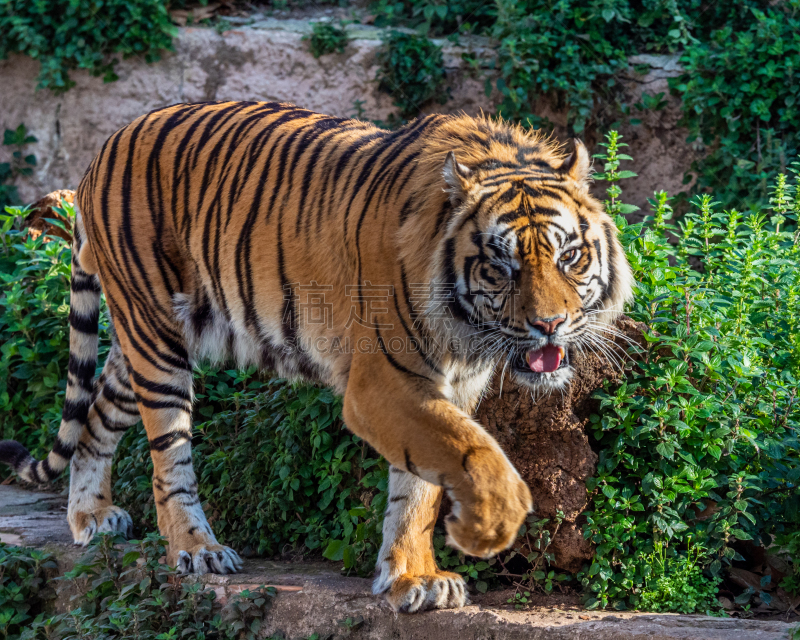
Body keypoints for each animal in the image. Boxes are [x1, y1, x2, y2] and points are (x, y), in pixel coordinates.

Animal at [0, 104, 632, 616]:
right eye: (500, 266)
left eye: (570, 257)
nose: (549, 324)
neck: (467, 334)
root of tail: (100, 151)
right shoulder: (385, 382)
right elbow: (468, 450)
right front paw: (488, 525)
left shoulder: (444, 385)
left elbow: (417, 490)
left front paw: (412, 579)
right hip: (156, 343)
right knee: (169, 460)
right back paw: (197, 549)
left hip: (146, 344)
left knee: (94, 417)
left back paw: (90, 517)